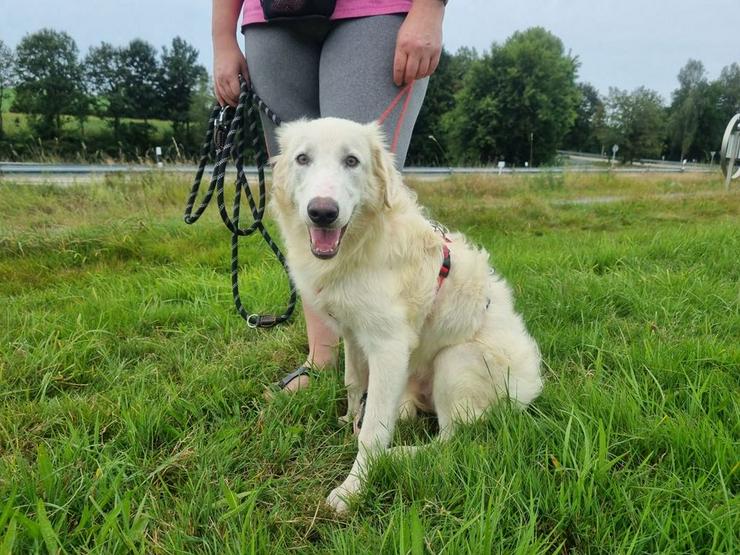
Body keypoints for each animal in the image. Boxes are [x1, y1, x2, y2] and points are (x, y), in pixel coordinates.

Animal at [268, 119, 540, 516]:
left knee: (450, 439)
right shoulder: (353, 335)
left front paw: (353, 489)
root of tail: (531, 389)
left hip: (455, 360)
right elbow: (353, 384)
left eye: (352, 161)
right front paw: (349, 420)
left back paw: (398, 455)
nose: (322, 212)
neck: (361, 246)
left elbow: (372, 434)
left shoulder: (389, 347)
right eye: (302, 158)